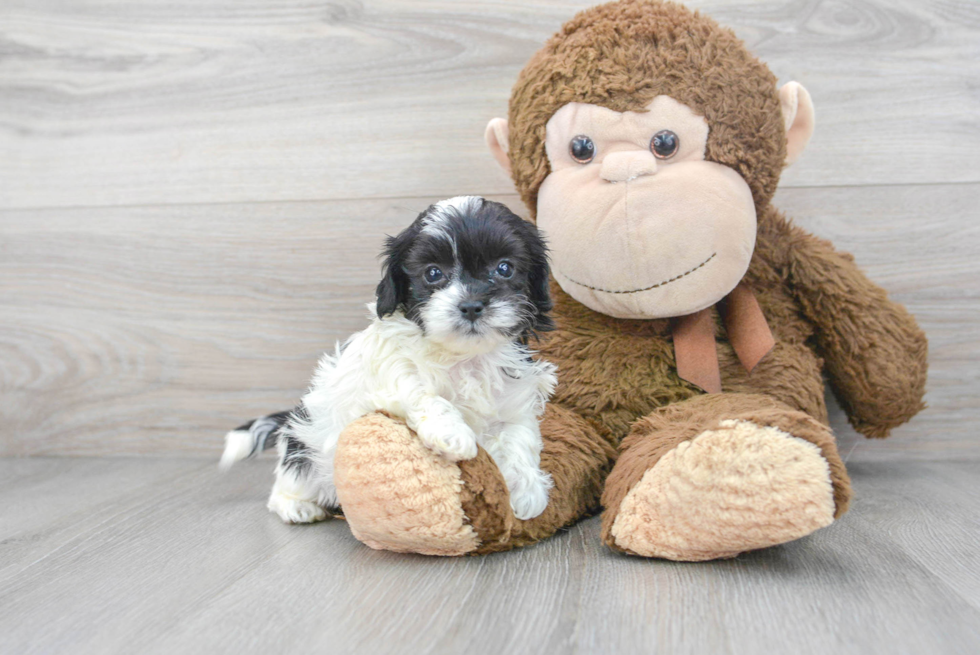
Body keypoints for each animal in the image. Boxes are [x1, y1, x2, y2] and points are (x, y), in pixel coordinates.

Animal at [223, 195, 560, 524]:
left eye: (504, 268)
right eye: (433, 273)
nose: (472, 305)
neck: (464, 357)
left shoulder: (515, 399)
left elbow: (520, 437)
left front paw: (528, 492)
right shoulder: (391, 372)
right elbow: (422, 393)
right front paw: (452, 433)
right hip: (304, 445)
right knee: (289, 480)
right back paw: (296, 506)